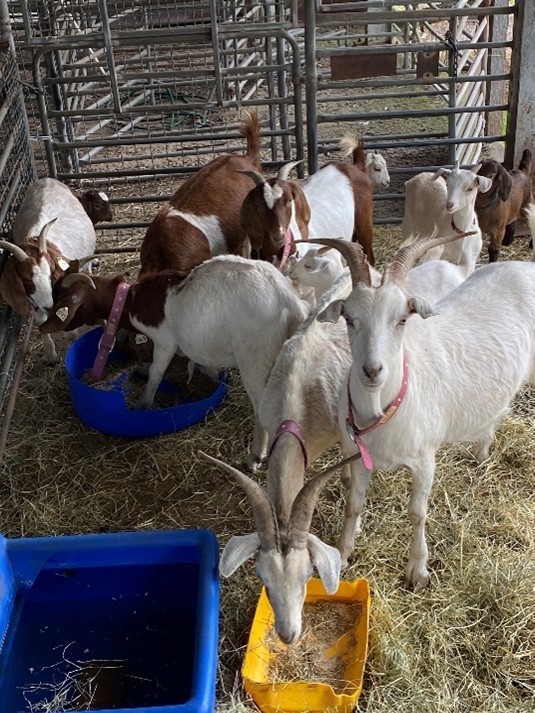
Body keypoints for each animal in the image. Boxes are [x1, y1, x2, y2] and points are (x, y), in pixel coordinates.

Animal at [0, 177, 96, 363]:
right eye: (27, 280)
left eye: (51, 274)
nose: (48, 306)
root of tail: (47, 179)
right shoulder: (32, 301)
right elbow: (40, 322)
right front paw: (50, 354)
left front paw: (72, 338)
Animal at [40, 256, 309, 471]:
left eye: (61, 297)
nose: (45, 321)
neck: (132, 300)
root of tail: (291, 304)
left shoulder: (164, 341)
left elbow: (157, 373)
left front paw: (143, 402)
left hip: (256, 359)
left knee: (262, 406)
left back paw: (254, 457)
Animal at [308, 234, 535, 592]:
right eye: (349, 319)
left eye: (402, 319)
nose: (372, 370)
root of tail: (524, 266)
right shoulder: (359, 457)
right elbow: (353, 504)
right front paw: (342, 555)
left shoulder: (424, 460)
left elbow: (418, 513)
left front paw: (418, 571)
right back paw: (481, 453)